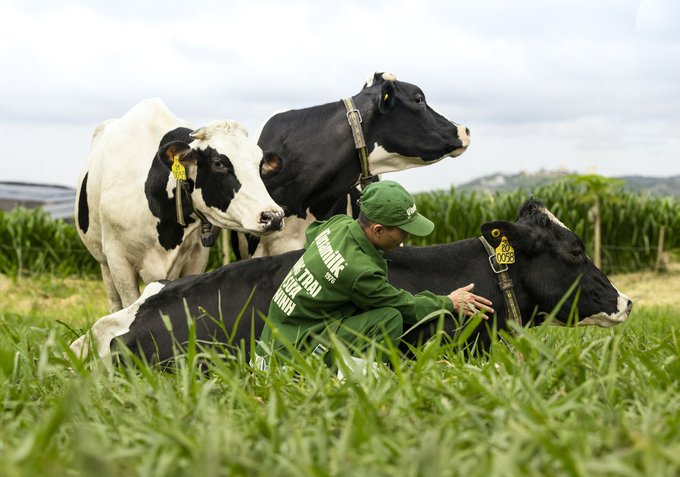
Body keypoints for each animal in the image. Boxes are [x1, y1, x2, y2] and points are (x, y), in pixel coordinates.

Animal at [76, 98, 284, 314]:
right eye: (218, 163)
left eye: (260, 165)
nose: (273, 216)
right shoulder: (118, 259)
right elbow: (128, 303)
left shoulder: (198, 255)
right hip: (103, 259)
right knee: (114, 302)